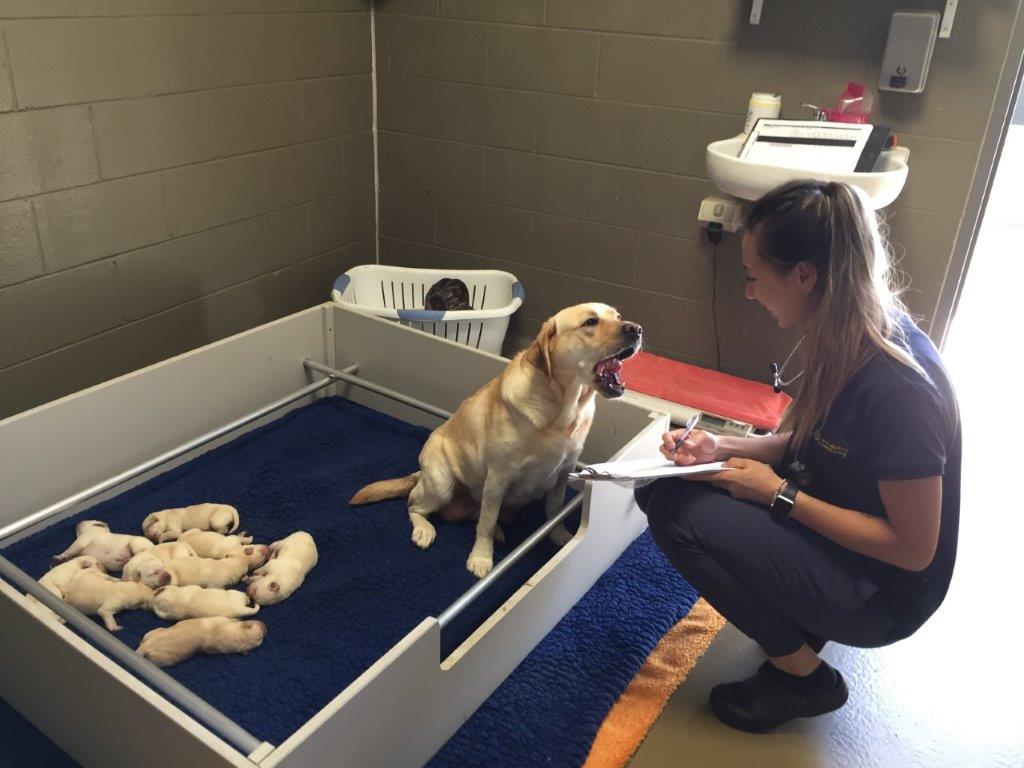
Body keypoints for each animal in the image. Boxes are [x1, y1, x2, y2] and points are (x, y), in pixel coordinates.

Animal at [352, 303, 638, 581]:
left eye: (618, 316)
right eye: (590, 322)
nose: (636, 329)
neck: (563, 409)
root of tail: (419, 474)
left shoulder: (563, 473)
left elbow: (554, 510)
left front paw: (560, 536)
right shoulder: (498, 478)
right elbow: (486, 526)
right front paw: (481, 558)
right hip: (441, 484)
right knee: (414, 506)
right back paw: (424, 529)